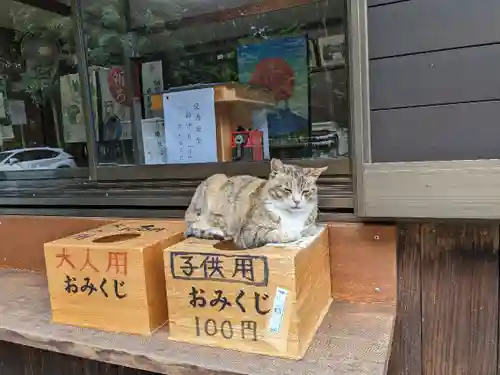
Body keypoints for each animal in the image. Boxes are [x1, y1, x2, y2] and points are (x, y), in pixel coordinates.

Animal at [185, 159, 328, 250]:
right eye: (287, 189)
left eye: (305, 191)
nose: (297, 201)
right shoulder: (247, 232)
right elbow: (270, 233)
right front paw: (290, 233)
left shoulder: (311, 225)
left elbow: (308, 229)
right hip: (214, 184)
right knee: (194, 226)